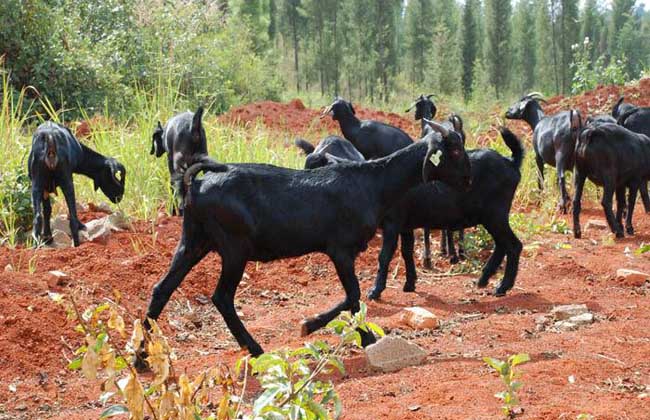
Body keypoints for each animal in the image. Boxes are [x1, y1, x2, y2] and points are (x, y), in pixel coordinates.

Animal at [142, 126, 468, 356]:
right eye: (453, 151)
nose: (468, 179)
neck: (372, 184)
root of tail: (196, 185)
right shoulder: (341, 249)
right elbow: (353, 295)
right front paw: (330, 329)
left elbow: (353, 297)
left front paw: (357, 335)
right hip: (234, 247)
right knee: (221, 297)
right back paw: (255, 349)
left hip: (195, 240)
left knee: (162, 289)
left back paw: (141, 357)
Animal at [368, 126, 524, 300]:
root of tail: (511, 162)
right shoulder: (405, 225)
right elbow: (407, 252)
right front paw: (409, 284)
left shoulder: (392, 223)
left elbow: (384, 256)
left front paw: (375, 291)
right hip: (491, 217)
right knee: (502, 244)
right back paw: (483, 280)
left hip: (495, 214)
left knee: (513, 245)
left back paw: (502, 287)